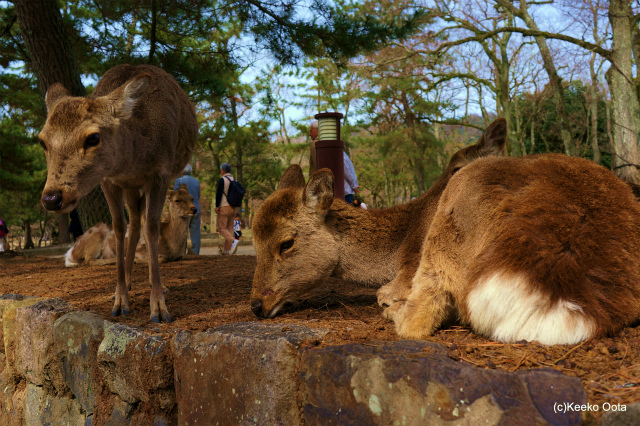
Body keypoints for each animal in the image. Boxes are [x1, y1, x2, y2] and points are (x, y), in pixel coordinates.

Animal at [249, 118, 640, 344]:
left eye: (286, 243)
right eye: (253, 238)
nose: (256, 304)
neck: (397, 247)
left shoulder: (409, 265)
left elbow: (385, 293)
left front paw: (388, 299)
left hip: (446, 235)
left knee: (419, 316)